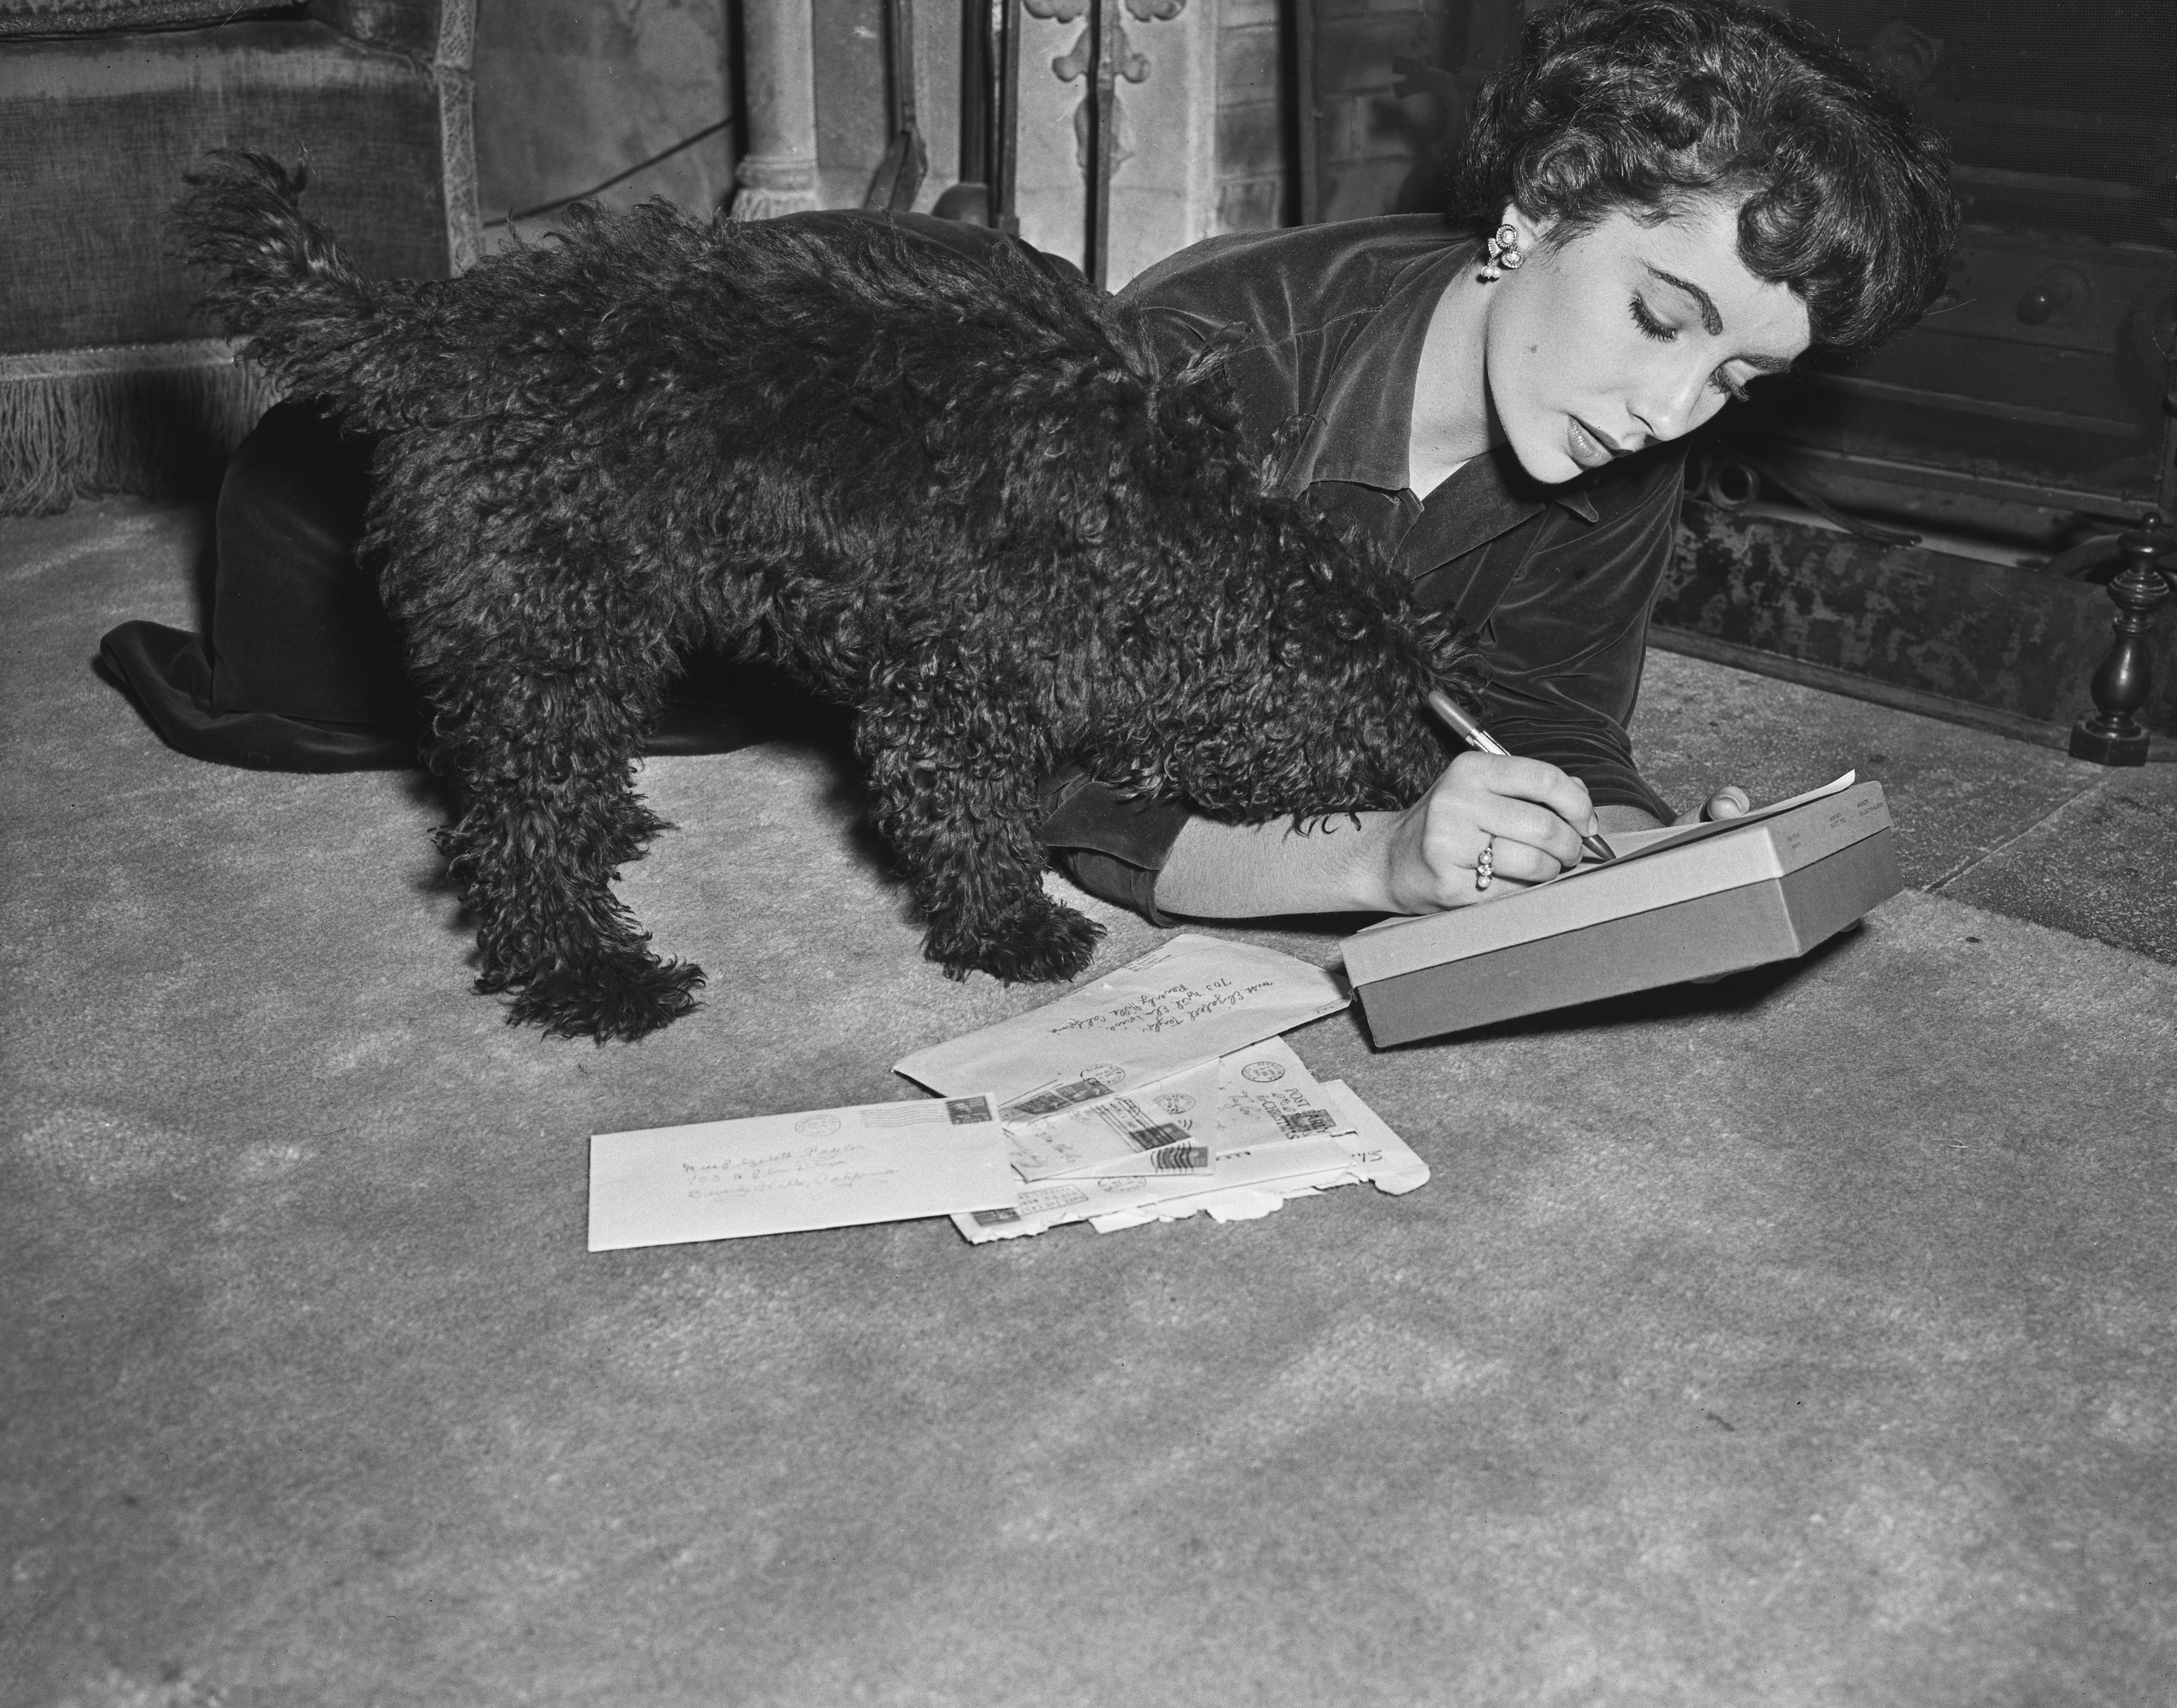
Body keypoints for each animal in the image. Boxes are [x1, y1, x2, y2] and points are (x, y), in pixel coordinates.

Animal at [174, 157, 1480, 1040]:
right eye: (1382, 708)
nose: (1422, 773)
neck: (1156, 528)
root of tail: (428, 328)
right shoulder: (945, 696)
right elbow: (971, 823)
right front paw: (1013, 932)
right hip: (543, 633)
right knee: (515, 830)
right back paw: (595, 978)